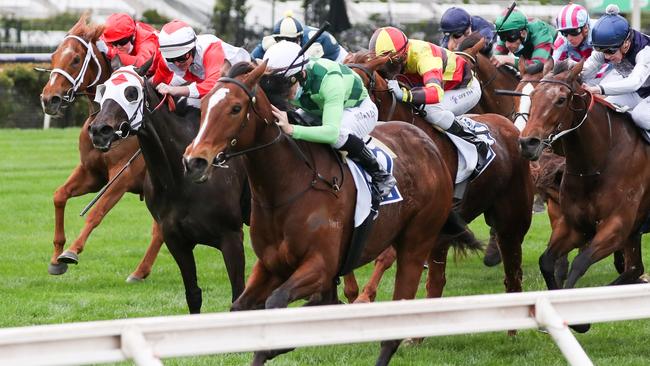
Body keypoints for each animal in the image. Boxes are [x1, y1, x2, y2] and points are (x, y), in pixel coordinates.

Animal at [39, 12, 161, 280]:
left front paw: (71, 252)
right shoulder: (92, 172)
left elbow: (96, 213)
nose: (49, 99)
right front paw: (55, 258)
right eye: (53, 56)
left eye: (75, 59)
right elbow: (59, 196)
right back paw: (140, 271)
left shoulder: (123, 176)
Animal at [86, 62, 248, 312]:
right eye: (103, 90)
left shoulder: (231, 237)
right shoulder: (176, 240)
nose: (99, 130)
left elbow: (239, 296)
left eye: (131, 92)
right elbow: (193, 295)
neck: (181, 179)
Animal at [180, 61, 458, 364]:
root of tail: (429, 145)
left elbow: (277, 304)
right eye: (203, 105)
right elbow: (242, 308)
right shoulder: (271, 264)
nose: (194, 161)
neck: (287, 186)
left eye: (235, 108)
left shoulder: (320, 265)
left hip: (416, 243)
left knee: (395, 326)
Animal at [344, 48, 532, 304]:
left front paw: (364, 296)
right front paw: (351, 291)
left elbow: (386, 256)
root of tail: (510, 126)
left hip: (512, 219)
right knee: (437, 281)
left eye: (360, 87)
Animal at [520, 59, 650, 332]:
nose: (528, 143)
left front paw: (580, 319)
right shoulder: (575, 225)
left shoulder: (616, 225)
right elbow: (546, 261)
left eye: (561, 99)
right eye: (533, 95)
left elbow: (580, 262)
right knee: (634, 268)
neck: (598, 161)